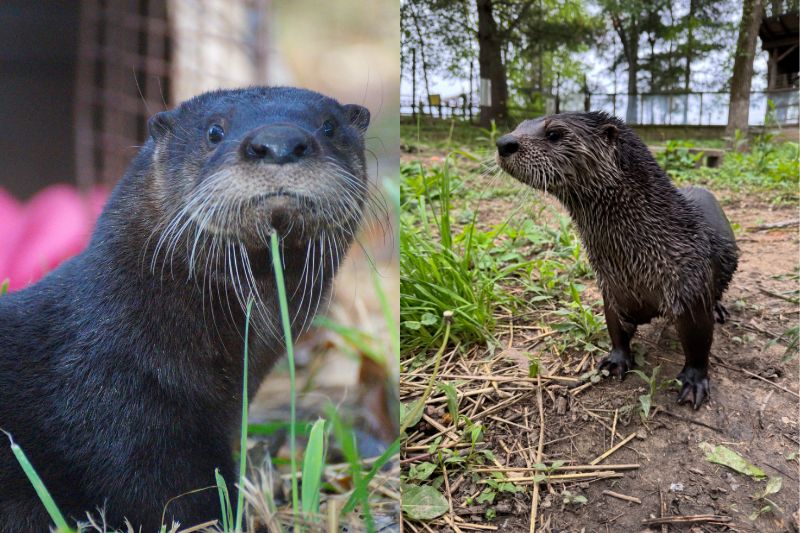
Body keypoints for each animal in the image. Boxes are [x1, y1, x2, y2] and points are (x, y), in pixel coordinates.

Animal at [496, 111, 737, 410]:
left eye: (554, 133)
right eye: (518, 126)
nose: (504, 143)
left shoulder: (689, 286)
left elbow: (699, 344)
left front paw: (694, 382)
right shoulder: (612, 287)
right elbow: (615, 328)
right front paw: (616, 360)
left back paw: (719, 309)